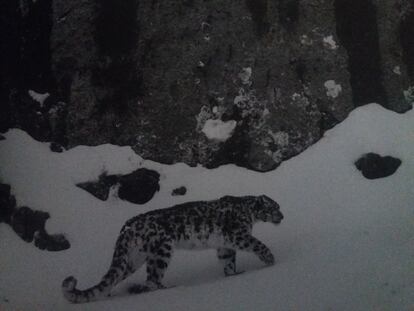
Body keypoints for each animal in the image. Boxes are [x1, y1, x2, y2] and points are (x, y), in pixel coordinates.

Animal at [62, 196, 282, 304]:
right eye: (275, 207)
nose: (282, 216)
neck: (250, 214)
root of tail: (128, 226)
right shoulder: (237, 235)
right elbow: (257, 244)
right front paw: (270, 259)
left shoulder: (224, 245)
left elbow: (228, 261)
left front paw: (233, 275)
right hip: (162, 251)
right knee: (152, 279)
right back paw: (170, 287)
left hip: (133, 259)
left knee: (114, 277)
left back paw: (107, 295)